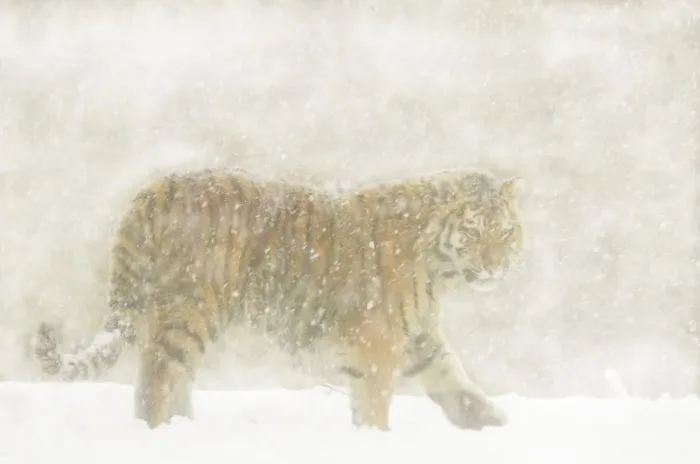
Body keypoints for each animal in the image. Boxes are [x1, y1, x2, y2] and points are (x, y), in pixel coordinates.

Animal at [32, 167, 524, 431]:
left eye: (505, 232)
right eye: (475, 232)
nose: (496, 266)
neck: (440, 272)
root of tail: (157, 188)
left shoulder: (422, 340)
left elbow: (459, 388)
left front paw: (496, 426)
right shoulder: (377, 346)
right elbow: (375, 405)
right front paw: (376, 439)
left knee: (168, 379)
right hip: (191, 312)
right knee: (157, 377)